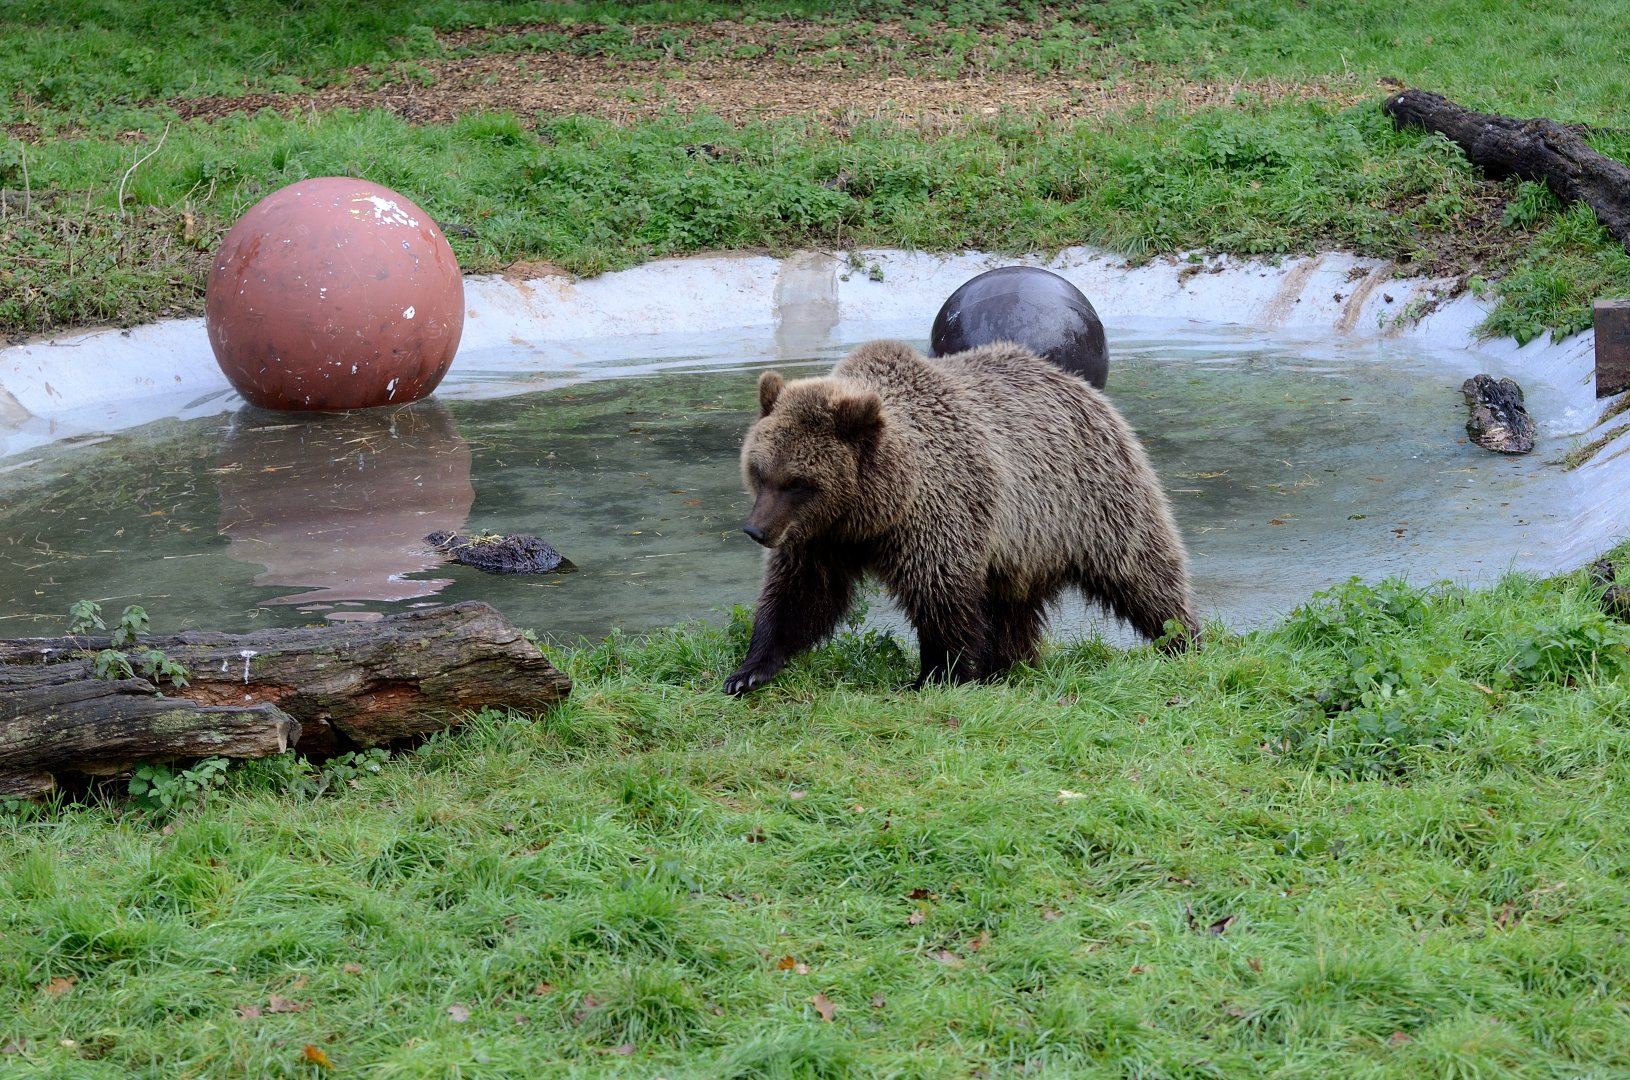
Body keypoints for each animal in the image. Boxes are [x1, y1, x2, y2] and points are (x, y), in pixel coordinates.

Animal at [723, 338, 1197, 695]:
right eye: (759, 472)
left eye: (798, 482)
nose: (757, 530)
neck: (874, 511)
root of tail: (1077, 382)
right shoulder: (820, 539)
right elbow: (799, 595)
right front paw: (748, 671)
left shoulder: (940, 513)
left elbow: (941, 597)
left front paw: (934, 675)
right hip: (1024, 545)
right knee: (1013, 607)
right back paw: (1009, 664)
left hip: (1091, 501)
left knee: (1143, 573)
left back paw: (1182, 638)